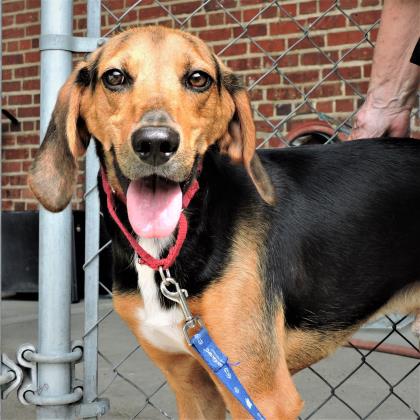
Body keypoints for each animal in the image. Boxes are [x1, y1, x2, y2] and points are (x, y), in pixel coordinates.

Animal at [29, 26, 420, 419]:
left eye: (198, 79)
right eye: (114, 77)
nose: (155, 143)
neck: (168, 253)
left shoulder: (263, 395)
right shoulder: (191, 385)